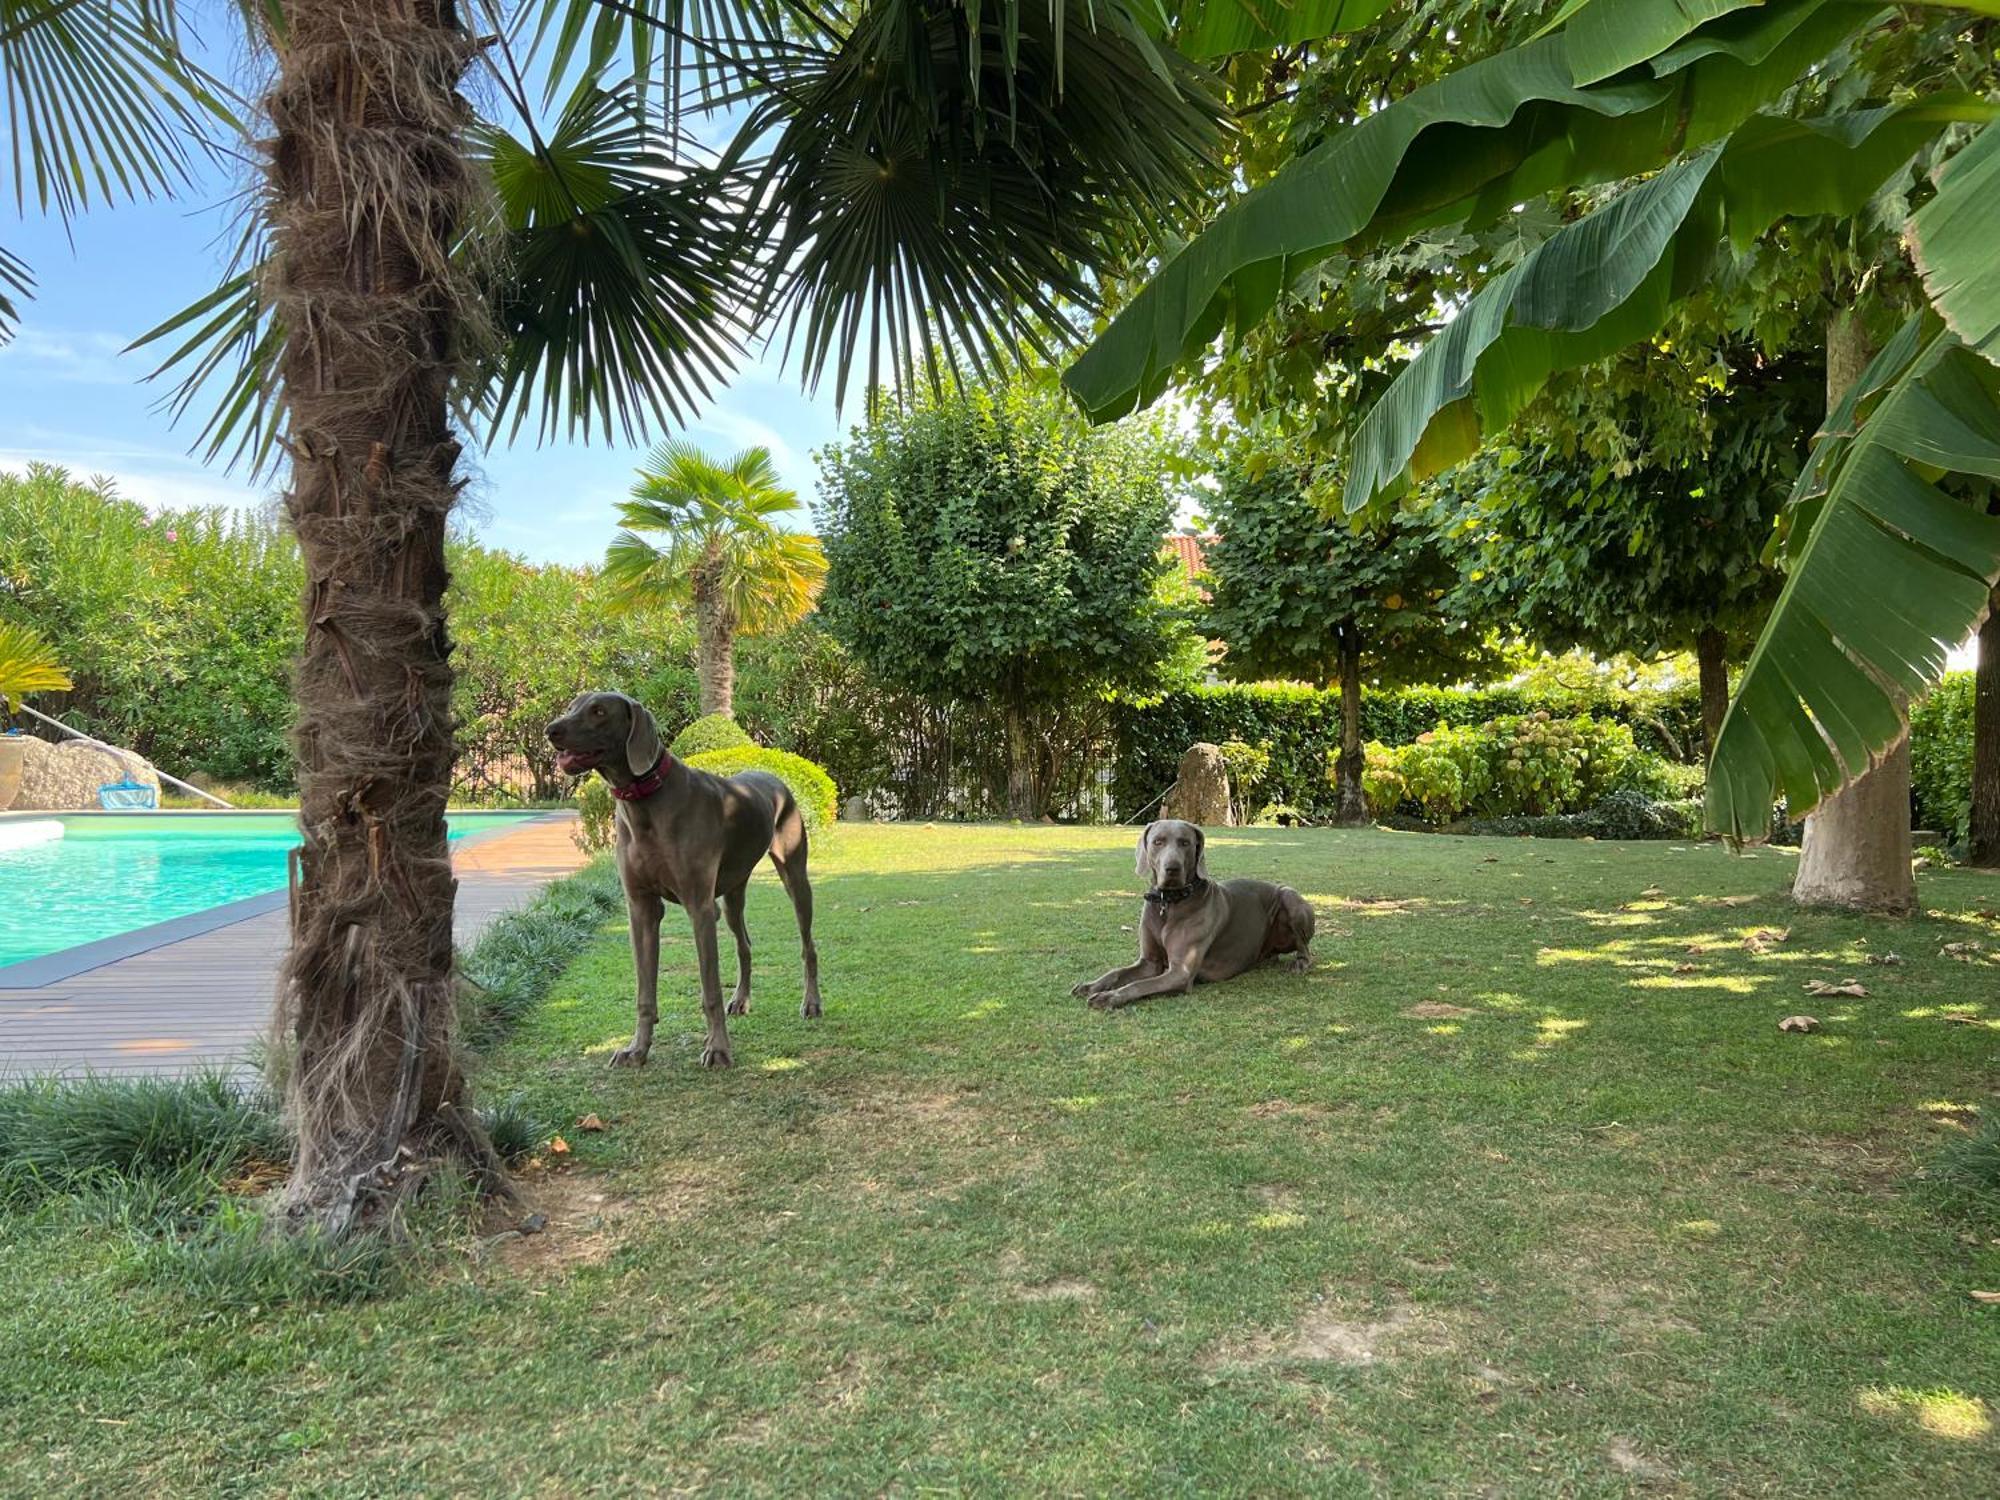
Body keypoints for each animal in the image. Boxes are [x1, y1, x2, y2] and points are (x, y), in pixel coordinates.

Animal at [544, 692, 816, 1072]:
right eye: (572, 705)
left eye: (598, 711)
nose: (550, 730)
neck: (645, 802)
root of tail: (774, 777)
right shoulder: (641, 909)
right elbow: (644, 993)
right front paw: (636, 1049)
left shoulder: (700, 908)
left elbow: (710, 991)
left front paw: (718, 1049)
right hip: (732, 894)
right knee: (744, 944)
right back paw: (741, 1000)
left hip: (794, 876)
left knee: (808, 946)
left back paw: (812, 1003)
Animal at [1080, 816, 1312, 1016]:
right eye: (1158, 842)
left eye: (1185, 843)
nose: (1172, 868)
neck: (1168, 902)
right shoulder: (1149, 962)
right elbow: (1117, 972)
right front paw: (1092, 985)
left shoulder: (1180, 973)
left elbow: (1139, 984)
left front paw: (1108, 997)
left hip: (1290, 897)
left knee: (1305, 949)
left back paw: (1300, 964)